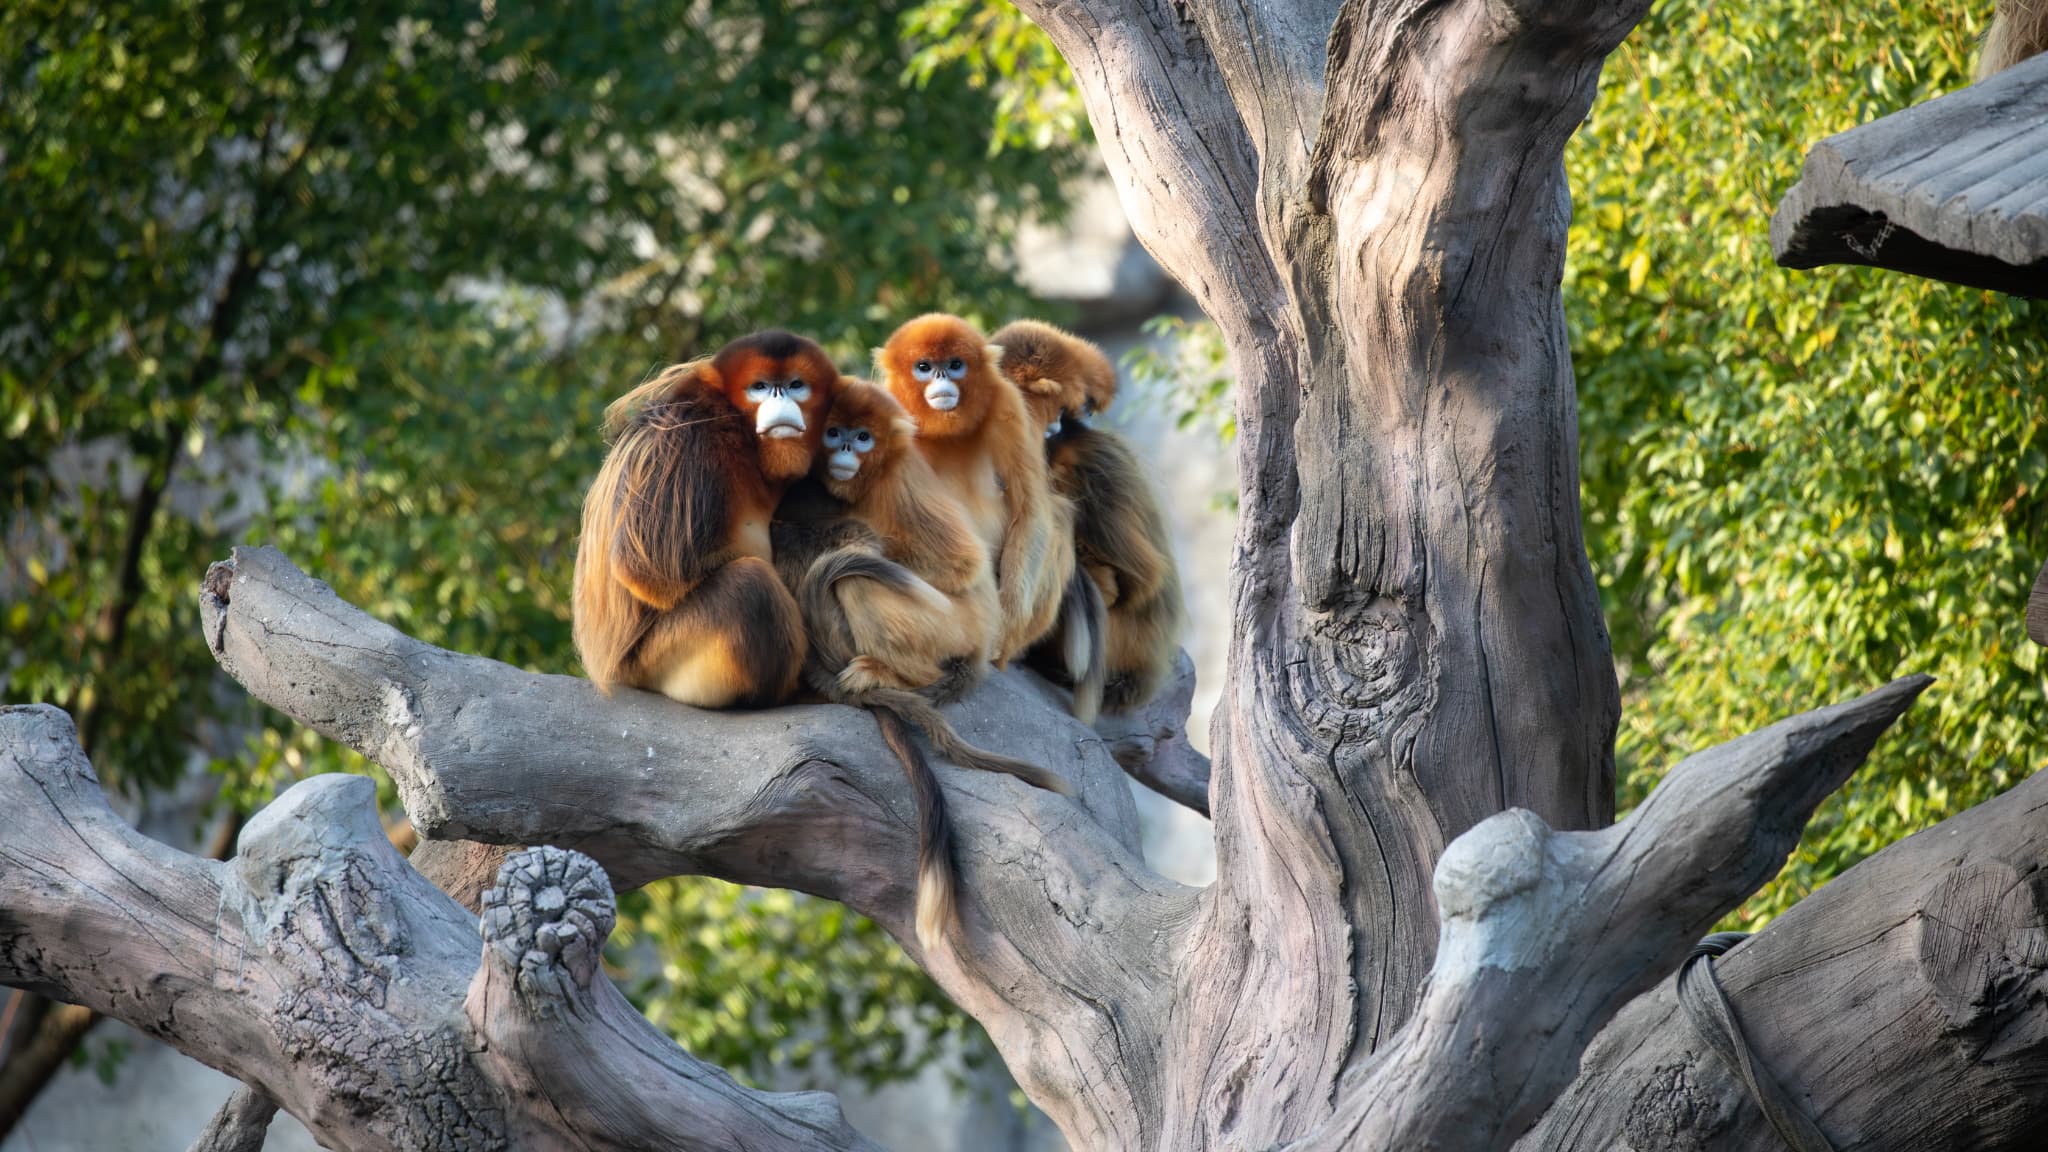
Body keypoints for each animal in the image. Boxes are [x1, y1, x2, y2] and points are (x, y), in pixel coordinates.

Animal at [573, 332, 835, 705]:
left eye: (795, 385)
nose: (780, 398)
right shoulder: (691, 437)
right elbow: (650, 569)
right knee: (750, 585)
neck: (743, 437)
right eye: (759, 387)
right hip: (657, 660)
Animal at [876, 309, 1073, 668]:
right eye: (923, 366)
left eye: (955, 364)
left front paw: (1004, 629)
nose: (941, 377)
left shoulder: (1007, 402)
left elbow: (1031, 509)